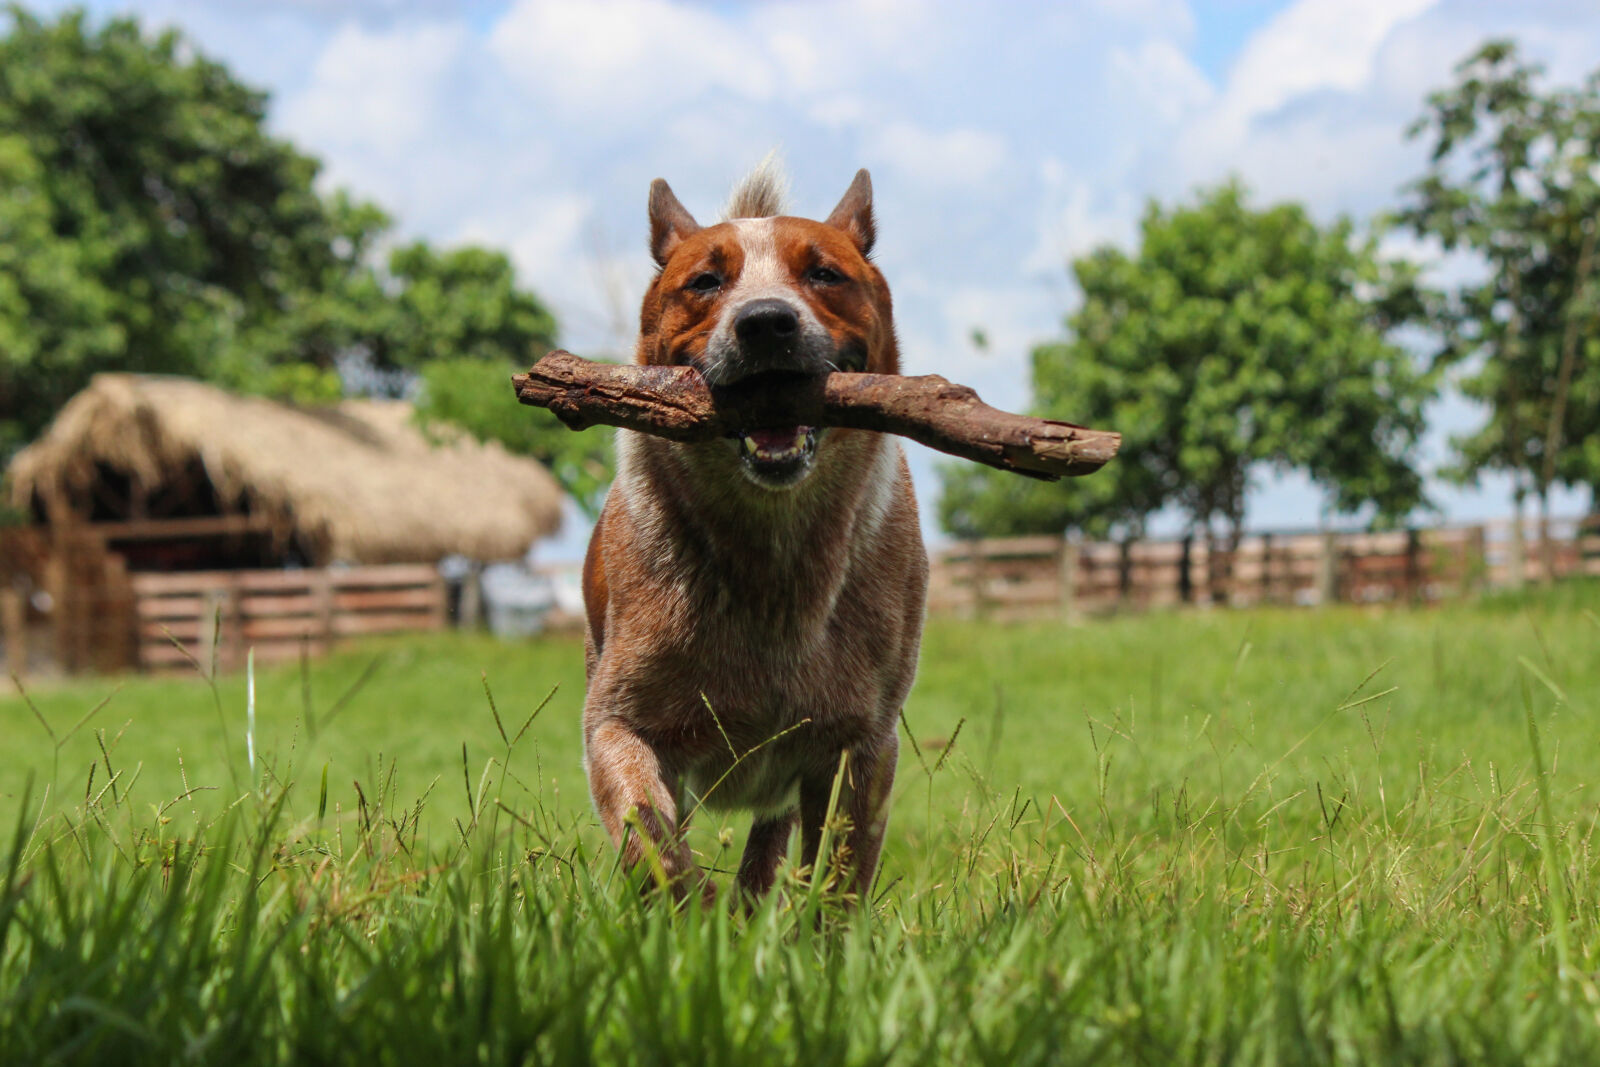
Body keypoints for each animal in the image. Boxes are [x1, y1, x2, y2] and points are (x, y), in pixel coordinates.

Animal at [579, 163, 928, 908]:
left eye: (824, 273)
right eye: (706, 282)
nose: (766, 322)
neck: (771, 555)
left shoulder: (862, 742)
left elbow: (840, 879)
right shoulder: (618, 722)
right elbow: (653, 842)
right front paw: (695, 920)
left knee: (771, 836)